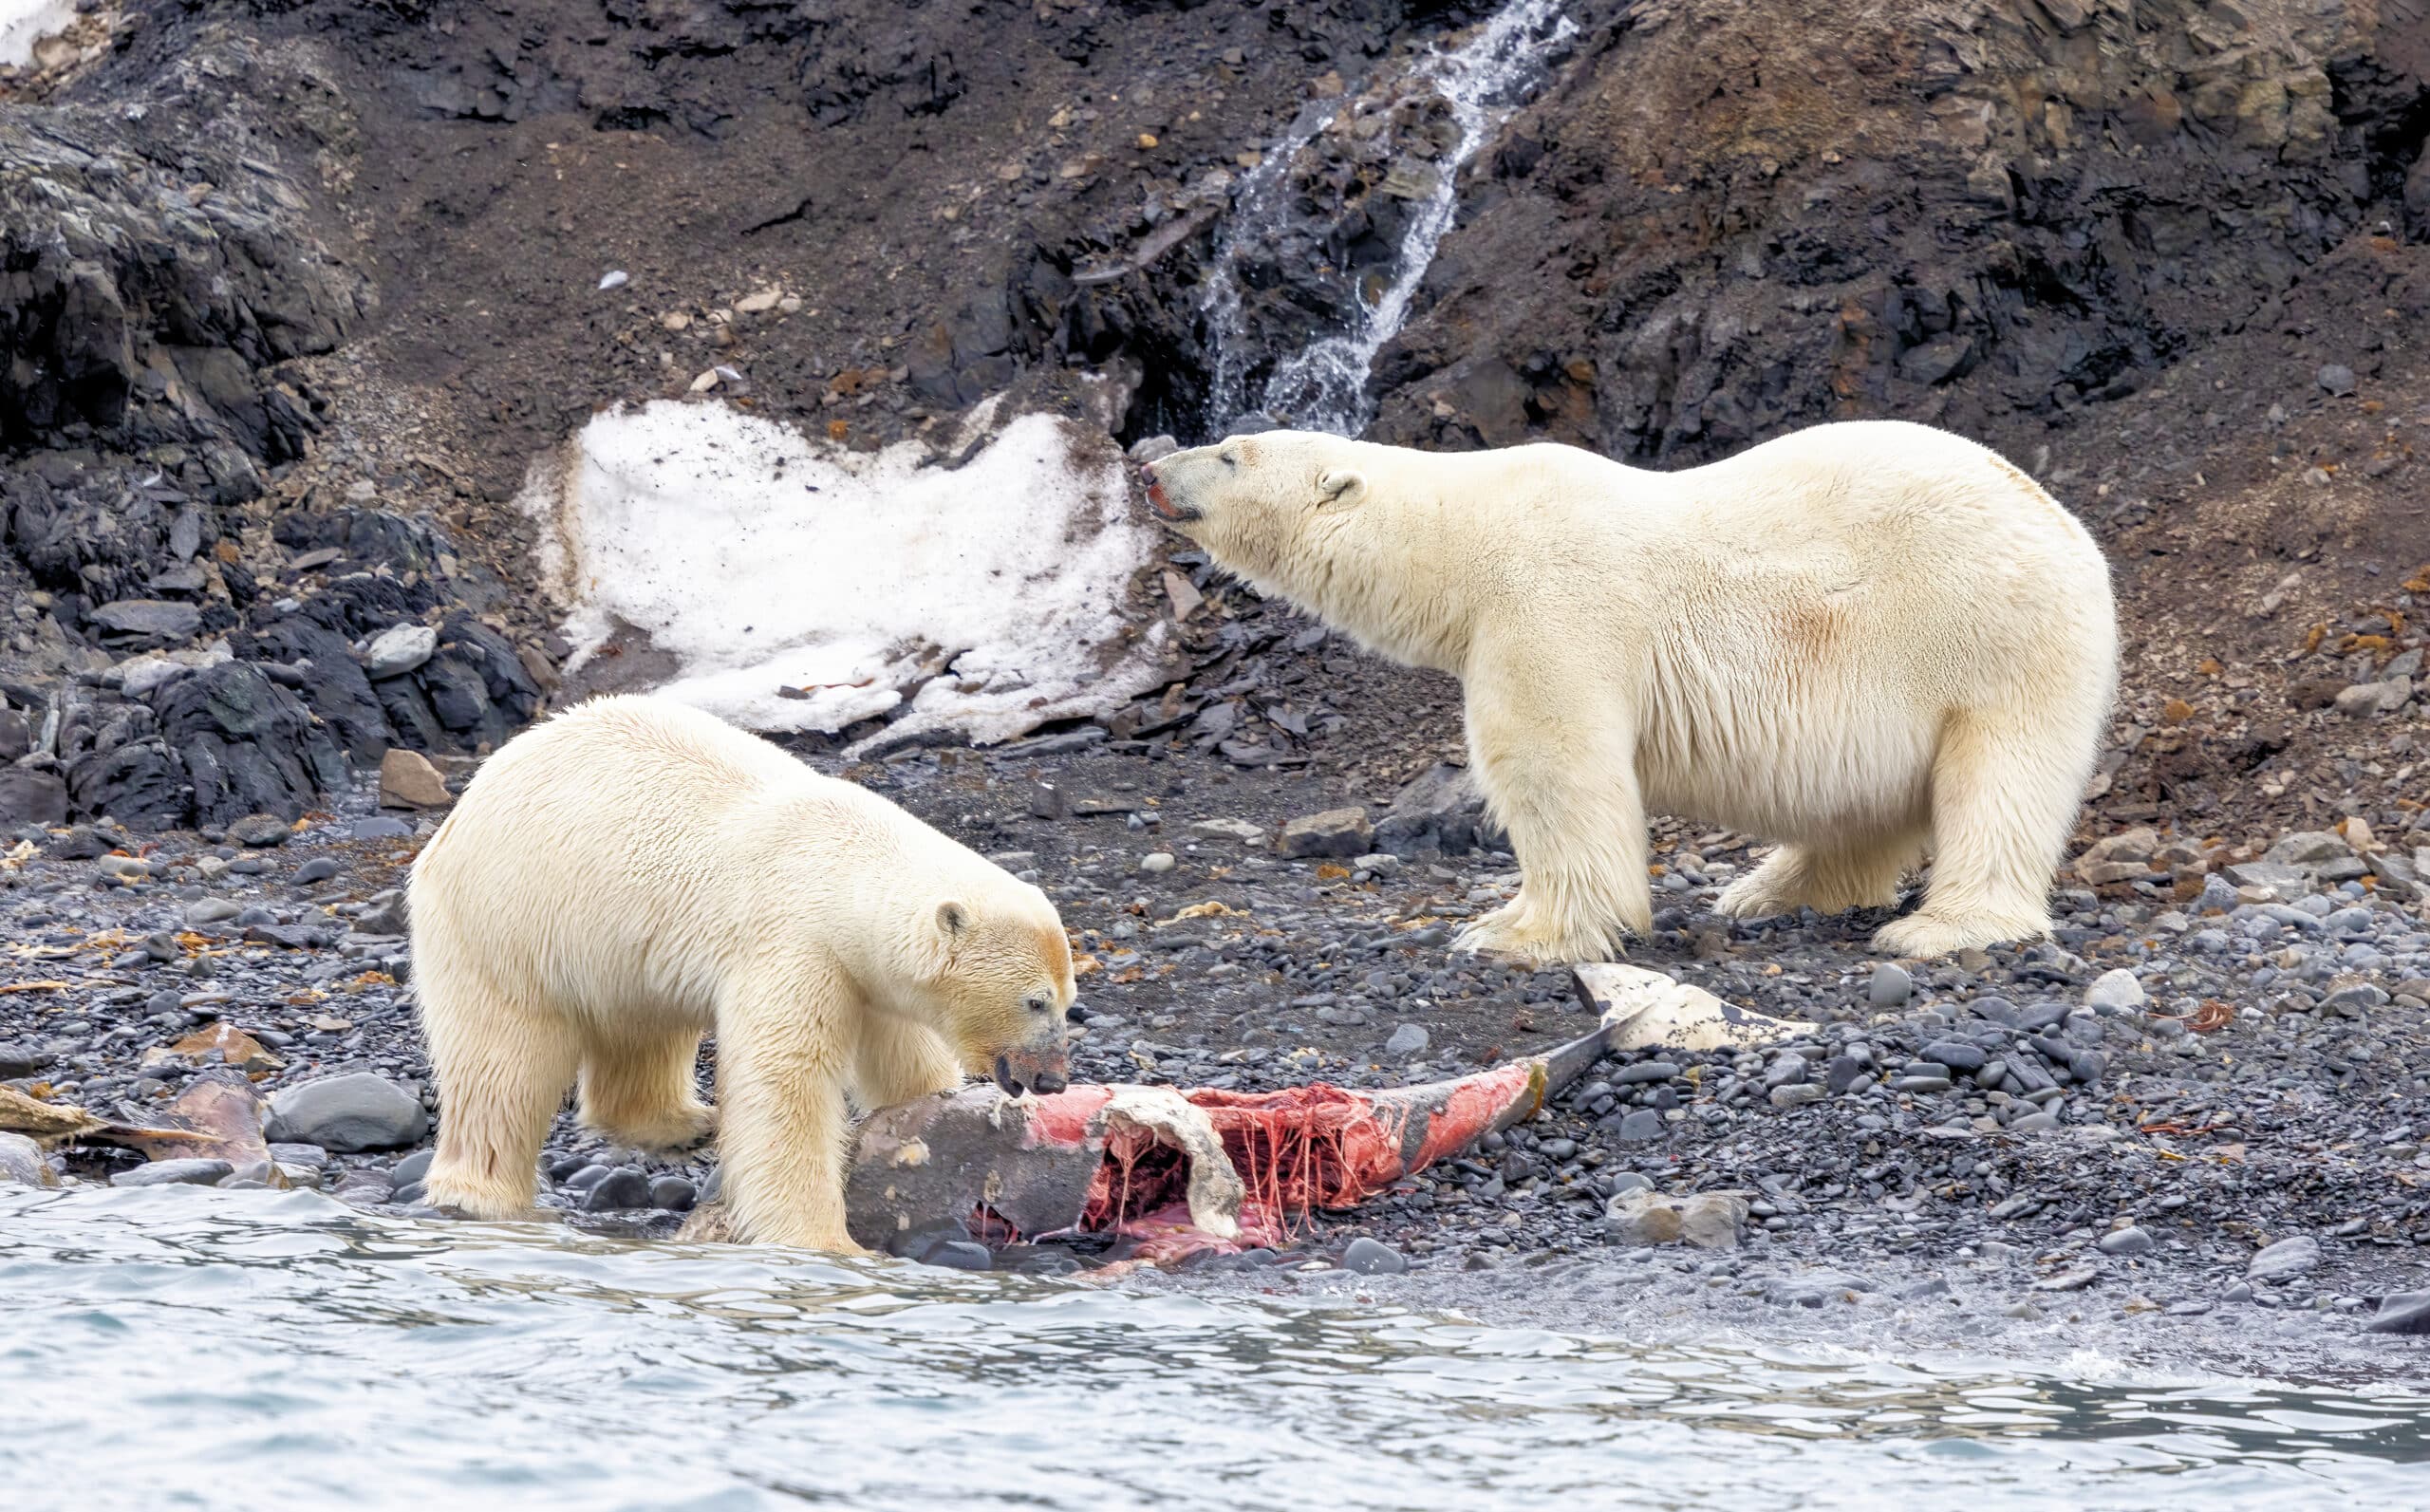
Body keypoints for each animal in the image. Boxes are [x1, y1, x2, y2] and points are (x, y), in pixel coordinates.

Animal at [409, 694, 1075, 1252]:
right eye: (1035, 1000)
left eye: (1068, 999)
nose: (1053, 1080)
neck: (841, 862)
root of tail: (464, 805)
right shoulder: (793, 945)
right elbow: (786, 1083)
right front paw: (825, 1242)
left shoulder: (863, 974)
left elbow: (901, 1055)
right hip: (509, 920)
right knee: (502, 1064)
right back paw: (483, 1195)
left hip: (617, 946)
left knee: (643, 1028)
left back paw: (687, 1124)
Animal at [1141, 421, 2117, 966]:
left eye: (1228, 454)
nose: (1150, 468)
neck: (1467, 536)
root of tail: (2070, 527)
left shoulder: (1547, 609)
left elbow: (1554, 767)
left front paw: (1516, 933)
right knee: (1866, 803)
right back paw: (1769, 889)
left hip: (1988, 638)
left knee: (2000, 781)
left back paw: (1943, 927)